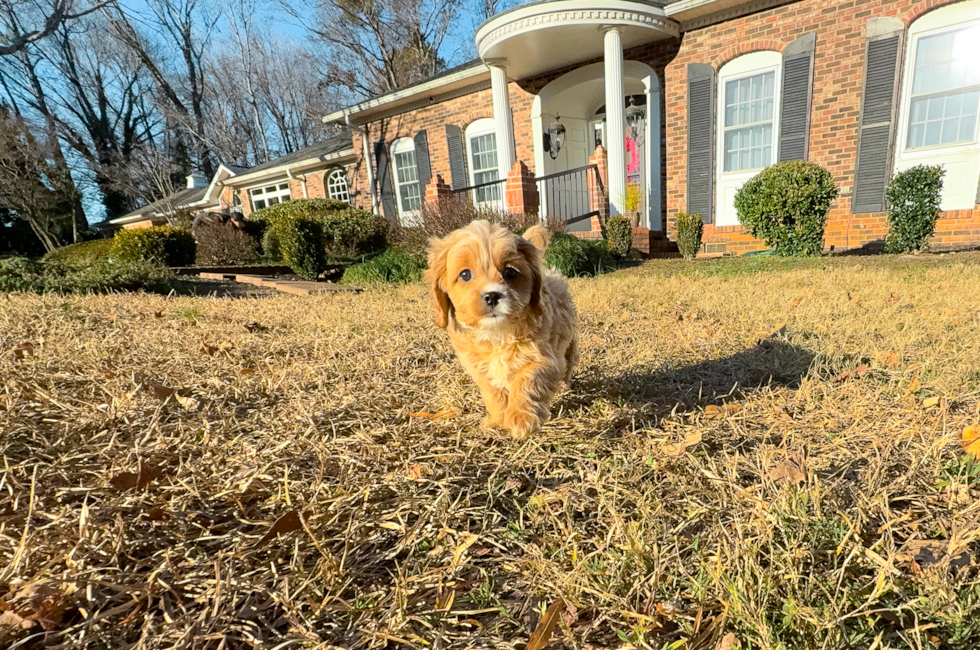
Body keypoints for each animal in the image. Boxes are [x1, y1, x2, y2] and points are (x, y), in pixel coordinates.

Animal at [424, 220, 580, 438]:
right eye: (465, 274)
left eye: (510, 272)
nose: (492, 295)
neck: (497, 334)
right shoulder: (480, 369)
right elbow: (493, 394)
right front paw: (498, 420)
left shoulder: (546, 358)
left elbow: (529, 379)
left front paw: (522, 418)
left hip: (569, 344)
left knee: (568, 363)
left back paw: (565, 385)